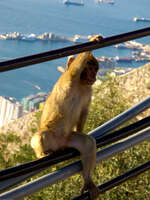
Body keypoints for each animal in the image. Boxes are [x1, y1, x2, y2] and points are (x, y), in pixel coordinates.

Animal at [30, 34, 103, 198]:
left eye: (95, 69)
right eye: (89, 68)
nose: (94, 76)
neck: (81, 84)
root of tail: (59, 145)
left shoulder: (89, 90)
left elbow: (84, 110)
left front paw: (81, 130)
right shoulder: (69, 77)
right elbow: (76, 67)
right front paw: (93, 40)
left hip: (68, 138)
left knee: (88, 144)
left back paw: (88, 181)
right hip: (51, 138)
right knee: (41, 135)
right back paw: (41, 154)